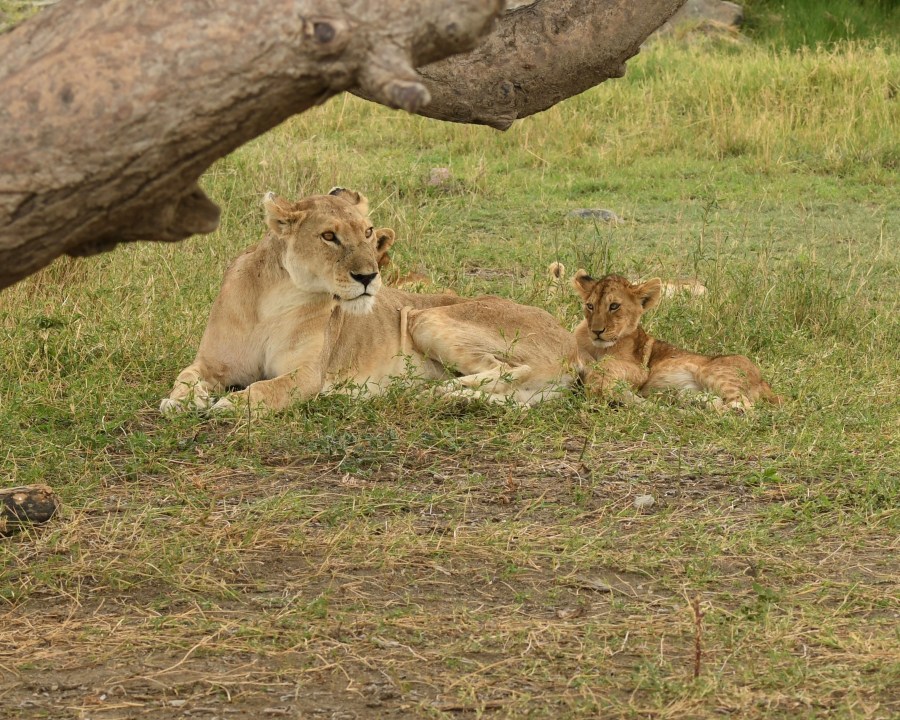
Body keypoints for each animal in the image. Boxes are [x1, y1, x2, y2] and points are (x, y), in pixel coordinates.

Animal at [160, 189, 581, 415]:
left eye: (367, 232)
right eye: (329, 236)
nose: (368, 277)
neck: (276, 297)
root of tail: (572, 343)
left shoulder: (306, 375)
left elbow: (265, 389)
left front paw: (230, 405)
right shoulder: (212, 363)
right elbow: (184, 376)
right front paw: (176, 402)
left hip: (424, 316)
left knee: (511, 367)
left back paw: (424, 390)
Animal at [571, 270, 780, 410]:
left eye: (614, 306)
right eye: (590, 306)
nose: (596, 331)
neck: (598, 347)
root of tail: (764, 381)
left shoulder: (640, 370)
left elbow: (607, 365)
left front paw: (596, 387)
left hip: (715, 373)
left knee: (744, 407)